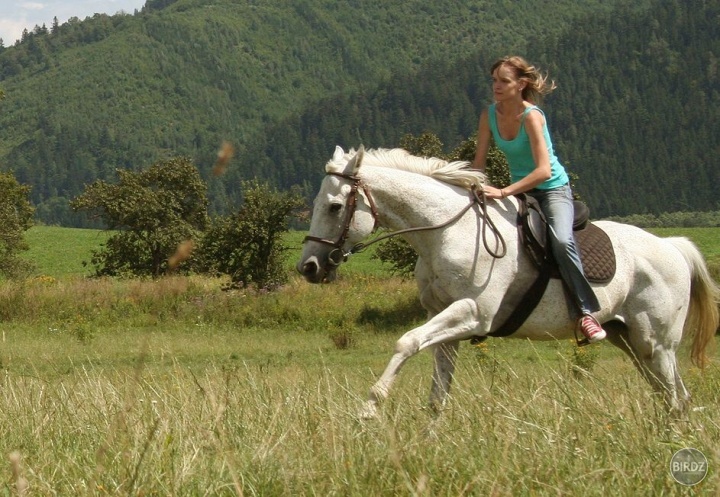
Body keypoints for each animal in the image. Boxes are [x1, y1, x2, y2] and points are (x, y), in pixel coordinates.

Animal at [296, 145, 716, 416]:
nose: (309, 267)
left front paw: (371, 405)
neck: (447, 231)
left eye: (335, 206)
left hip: (656, 344)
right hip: (629, 340)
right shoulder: (445, 320)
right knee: (670, 398)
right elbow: (437, 392)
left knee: (676, 398)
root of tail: (672, 247)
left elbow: (406, 342)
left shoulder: (473, 313)